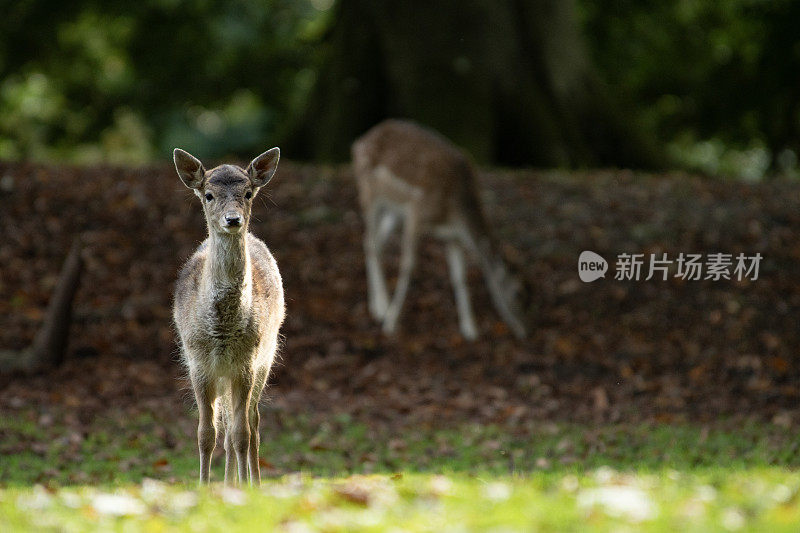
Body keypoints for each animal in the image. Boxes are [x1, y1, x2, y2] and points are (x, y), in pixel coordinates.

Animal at [173, 148, 286, 484]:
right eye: (208, 195)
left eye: (248, 193)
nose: (233, 219)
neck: (222, 328)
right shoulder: (198, 363)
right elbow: (205, 434)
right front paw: (204, 487)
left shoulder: (246, 363)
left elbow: (241, 434)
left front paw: (248, 487)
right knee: (224, 428)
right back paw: (228, 483)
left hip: (266, 358)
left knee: (253, 424)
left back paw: (250, 481)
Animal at [352, 119, 532, 338]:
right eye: (518, 293)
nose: (527, 330)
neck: (452, 211)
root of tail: (360, 140)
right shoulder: (417, 213)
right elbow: (408, 266)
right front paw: (392, 324)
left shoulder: (452, 237)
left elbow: (459, 277)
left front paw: (470, 330)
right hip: (368, 191)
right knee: (370, 239)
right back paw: (382, 309)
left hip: (394, 212)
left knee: (376, 243)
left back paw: (378, 306)